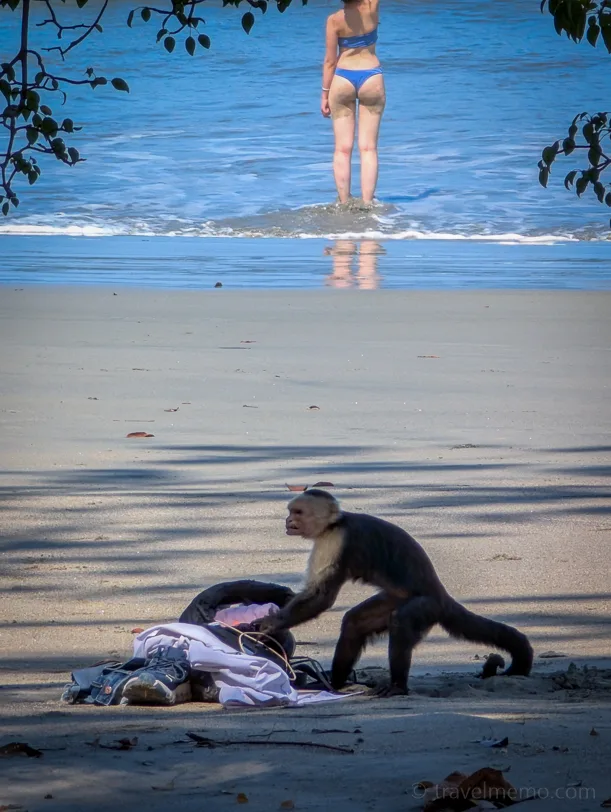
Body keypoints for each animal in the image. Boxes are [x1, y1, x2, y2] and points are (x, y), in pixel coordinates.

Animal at [257, 489, 533, 696]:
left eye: (298, 512)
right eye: (290, 512)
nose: (287, 522)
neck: (336, 523)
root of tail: (442, 594)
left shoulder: (333, 541)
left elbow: (322, 595)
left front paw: (273, 622)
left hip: (426, 605)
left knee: (402, 621)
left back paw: (398, 686)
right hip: (397, 598)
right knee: (355, 622)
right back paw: (335, 682)